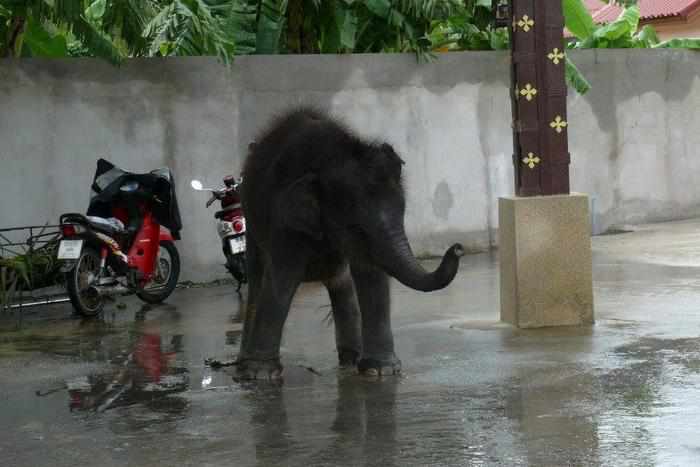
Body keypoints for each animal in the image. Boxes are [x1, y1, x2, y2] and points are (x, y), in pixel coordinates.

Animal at [238, 109, 462, 380]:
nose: (458, 247)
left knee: (341, 283)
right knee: (257, 280)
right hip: (252, 224)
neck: (331, 157)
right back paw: (242, 364)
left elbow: (370, 275)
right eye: (357, 227)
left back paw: (350, 360)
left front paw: (381, 370)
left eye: (403, 214)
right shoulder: (286, 221)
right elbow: (282, 277)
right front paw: (261, 374)